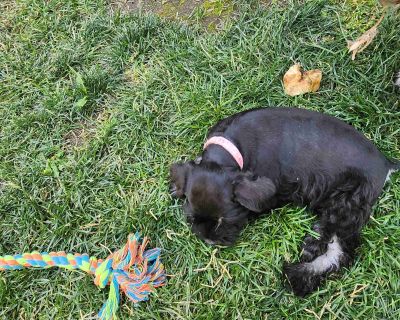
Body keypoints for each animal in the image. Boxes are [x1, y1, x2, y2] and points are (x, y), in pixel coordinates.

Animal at [170, 107, 398, 296]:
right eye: (191, 218)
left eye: (224, 221)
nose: (209, 241)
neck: (231, 147)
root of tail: (386, 164)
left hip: (348, 201)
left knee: (335, 243)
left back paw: (305, 259)